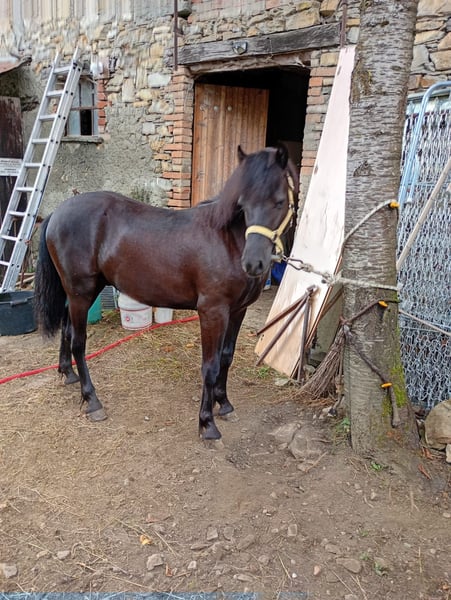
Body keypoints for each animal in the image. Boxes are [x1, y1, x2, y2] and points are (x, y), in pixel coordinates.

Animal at [34, 145, 299, 440]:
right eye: (244, 203)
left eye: (279, 202)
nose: (253, 263)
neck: (227, 240)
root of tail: (57, 213)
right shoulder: (213, 312)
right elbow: (210, 366)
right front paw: (207, 424)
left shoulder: (238, 310)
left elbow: (226, 357)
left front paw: (224, 404)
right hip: (80, 292)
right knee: (79, 342)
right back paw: (92, 400)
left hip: (80, 292)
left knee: (67, 330)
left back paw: (68, 374)